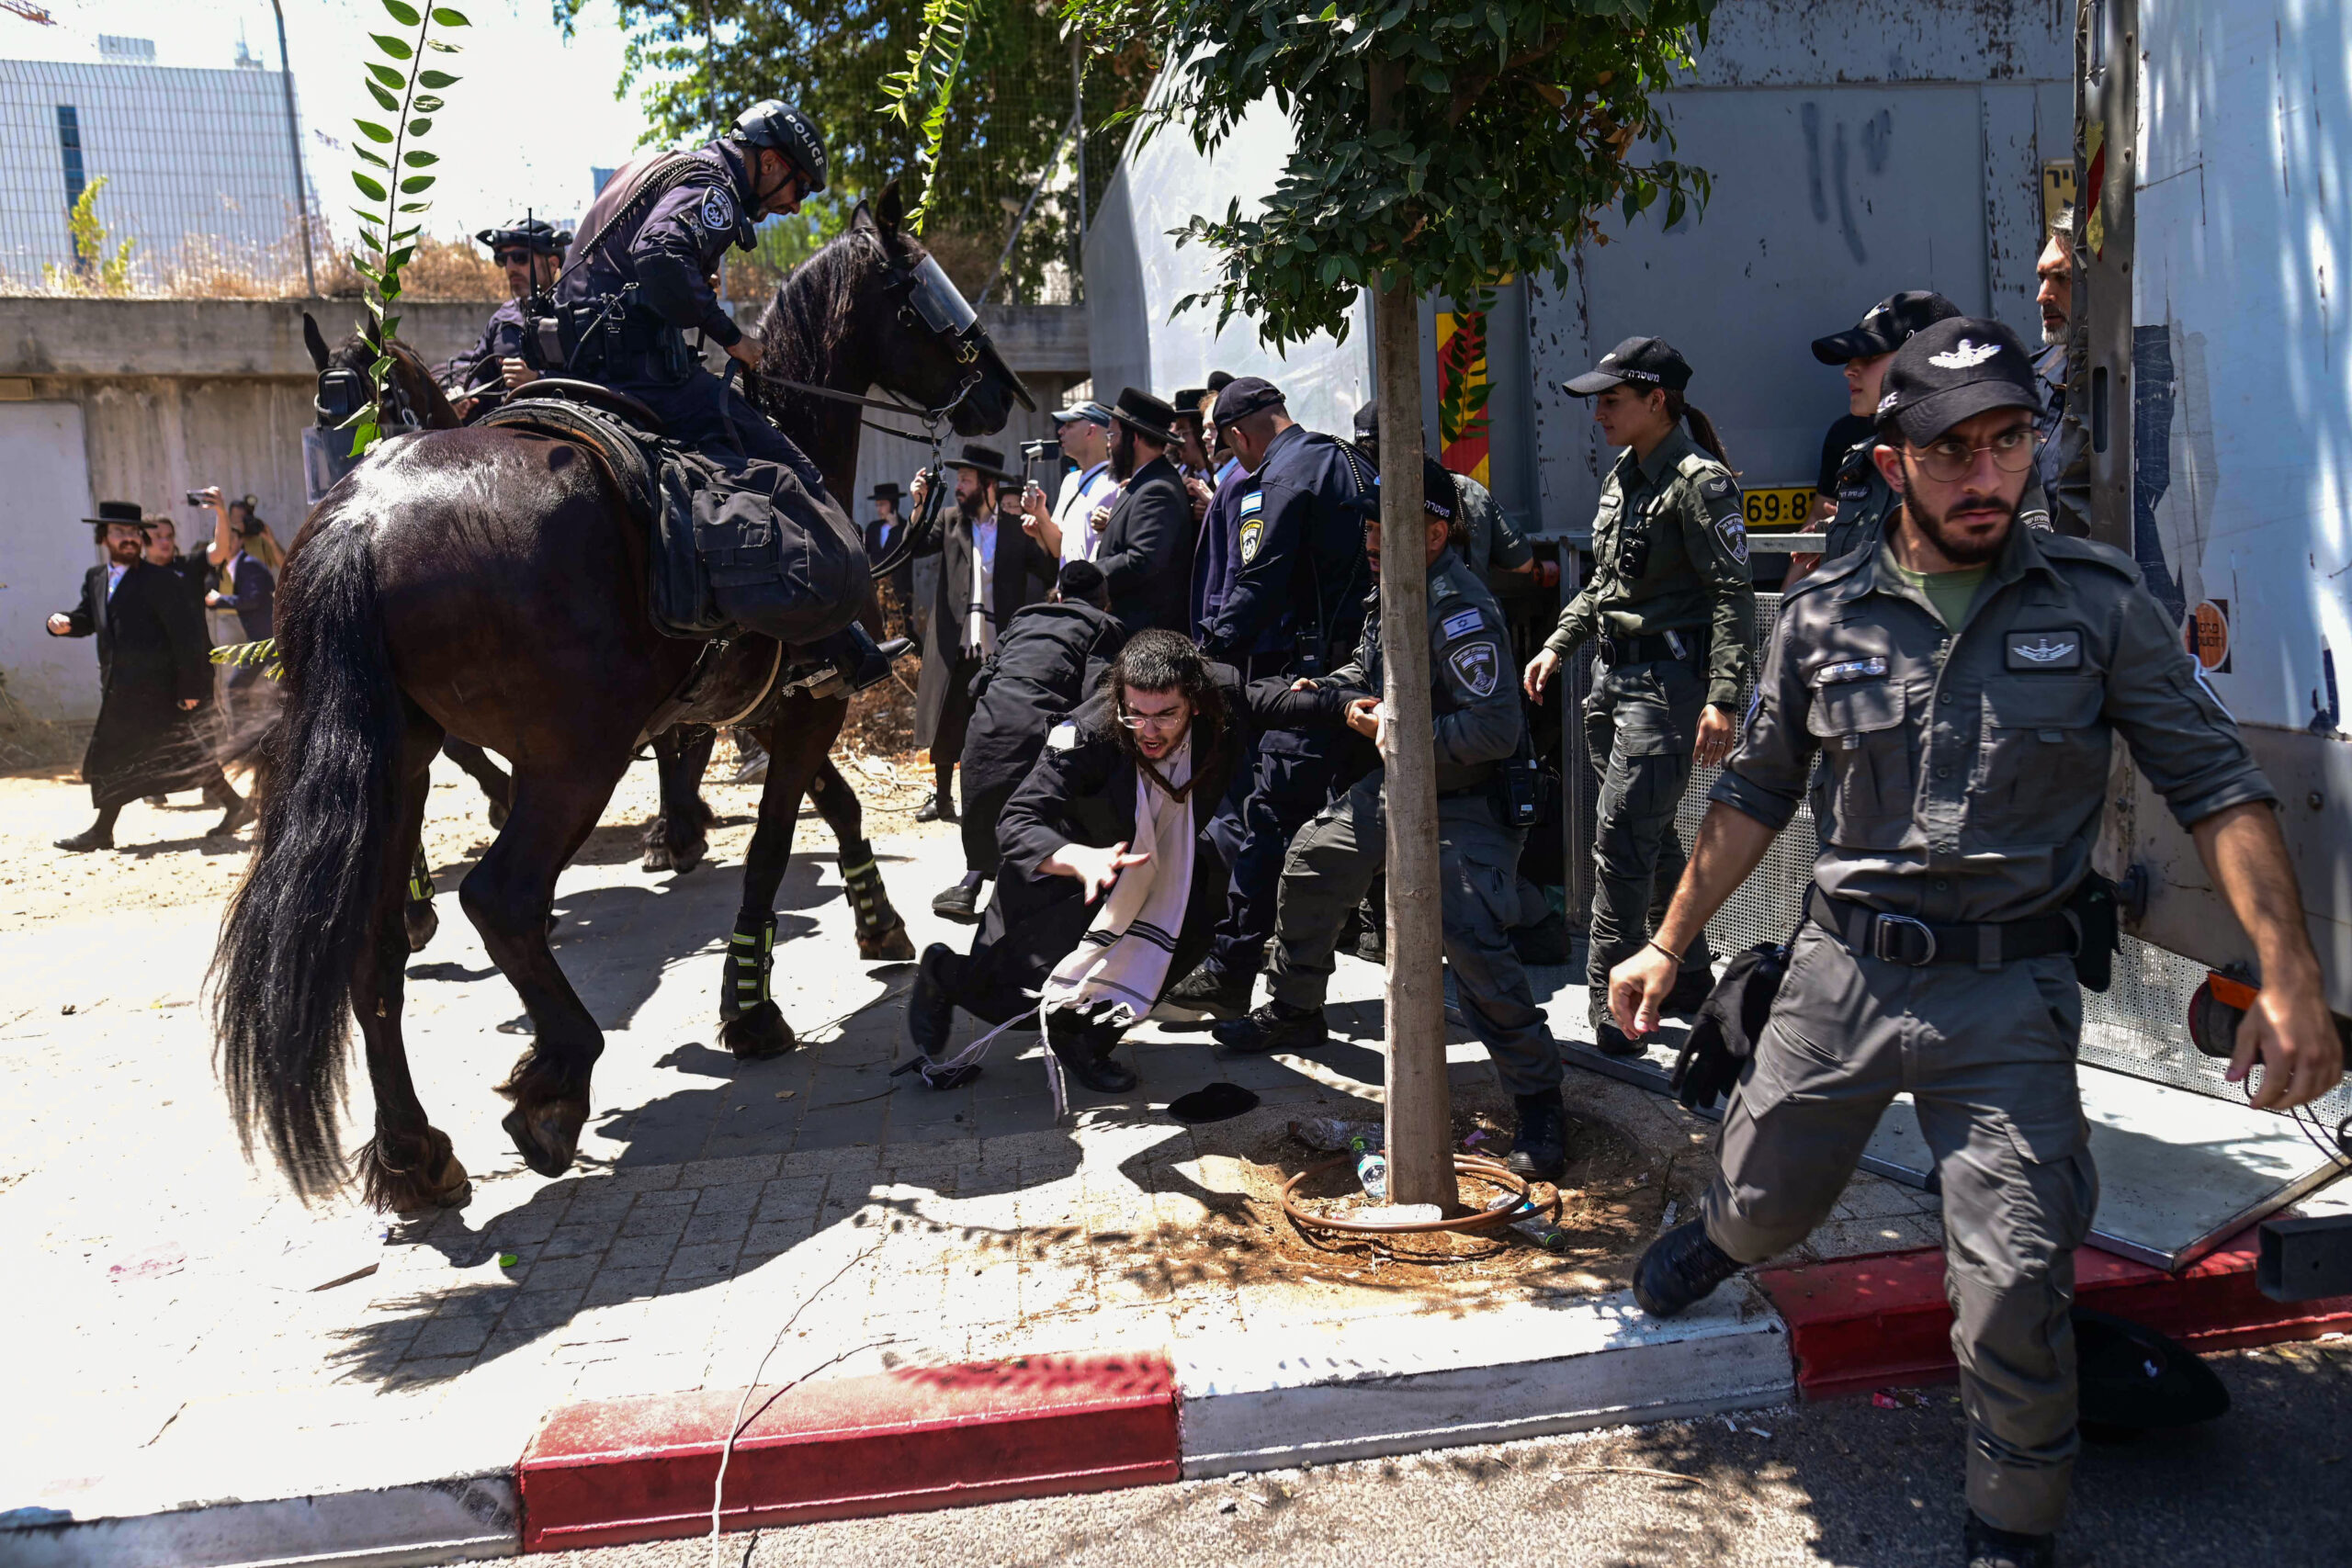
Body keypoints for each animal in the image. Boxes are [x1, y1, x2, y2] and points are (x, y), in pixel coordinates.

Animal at [221, 186, 1030, 1213]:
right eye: (925, 289)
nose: (1001, 394)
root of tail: (360, 523)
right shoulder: (806, 699)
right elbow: (774, 848)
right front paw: (752, 1006)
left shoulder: (763, 702)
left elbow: (832, 804)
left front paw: (872, 915)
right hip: (577, 757)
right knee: (503, 900)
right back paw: (555, 1080)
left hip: (398, 758)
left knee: (371, 948)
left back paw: (415, 1152)